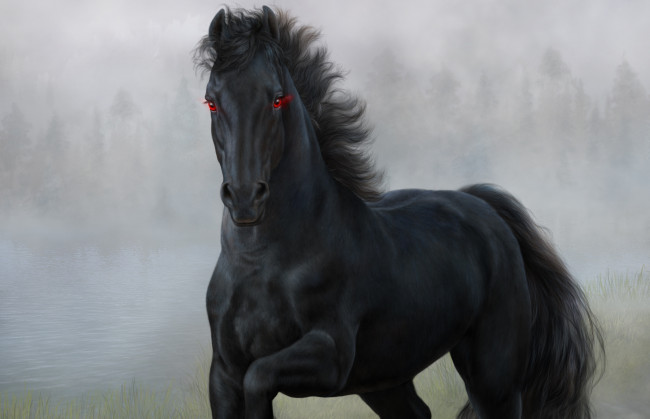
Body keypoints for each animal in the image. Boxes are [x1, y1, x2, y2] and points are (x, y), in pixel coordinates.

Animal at [194, 7, 603, 419]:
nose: (245, 198)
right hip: (384, 380)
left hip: (494, 380)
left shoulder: (330, 357)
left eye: (278, 99)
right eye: (211, 102)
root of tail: (485, 206)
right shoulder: (224, 374)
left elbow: (258, 377)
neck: (261, 266)